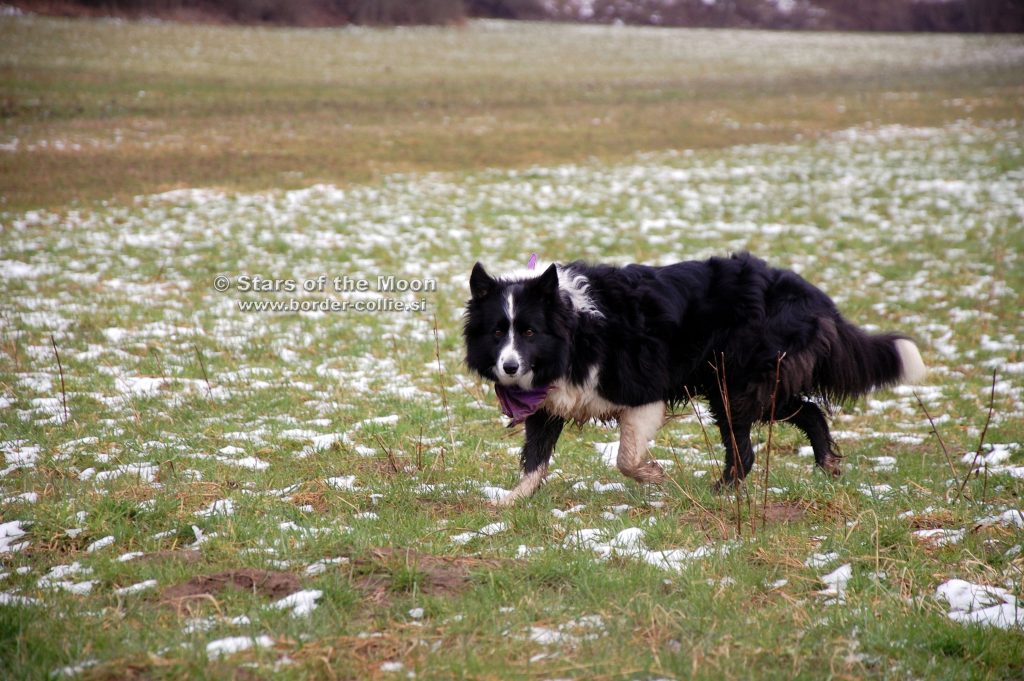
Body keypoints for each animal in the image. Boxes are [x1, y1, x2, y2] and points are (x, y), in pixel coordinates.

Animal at [463, 253, 926, 506]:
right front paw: (511, 501)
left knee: (746, 450)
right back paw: (826, 464)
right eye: (497, 333)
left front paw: (657, 477)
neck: (573, 325)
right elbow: (535, 458)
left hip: (735, 382)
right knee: (808, 411)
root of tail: (813, 296)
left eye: (528, 332)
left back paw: (719, 490)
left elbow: (626, 458)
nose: (509, 367)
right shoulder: (550, 401)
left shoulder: (642, 389)